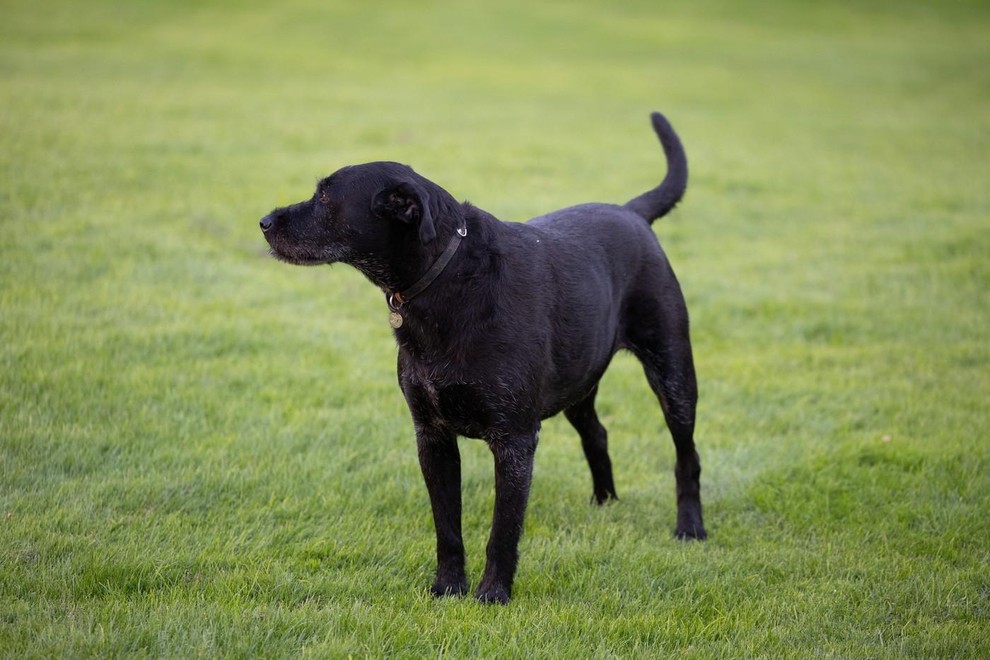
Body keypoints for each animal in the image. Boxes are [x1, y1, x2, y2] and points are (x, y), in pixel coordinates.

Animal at [258, 112, 704, 604]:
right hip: (579, 386)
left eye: (324, 196)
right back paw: (604, 503)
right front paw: (448, 587)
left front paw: (492, 594)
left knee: (687, 456)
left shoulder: (514, 440)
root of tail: (632, 212)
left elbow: (503, 528)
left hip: (673, 377)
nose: (264, 221)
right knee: (598, 434)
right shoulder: (431, 435)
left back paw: (690, 529)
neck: (449, 279)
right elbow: (447, 527)